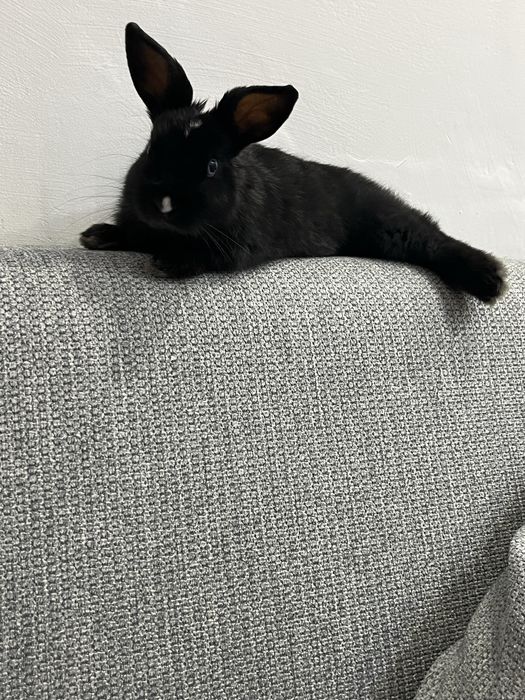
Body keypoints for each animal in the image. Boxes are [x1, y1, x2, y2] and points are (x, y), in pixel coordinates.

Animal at [80, 22, 506, 302]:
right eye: (151, 148)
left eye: (212, 166)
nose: (164, 204)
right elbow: (133, 235)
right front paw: (97, 236)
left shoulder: (238, 246)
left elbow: (204, 256)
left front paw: (169, 261)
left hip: (392, 228)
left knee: (432, 237)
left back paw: (491, 280)